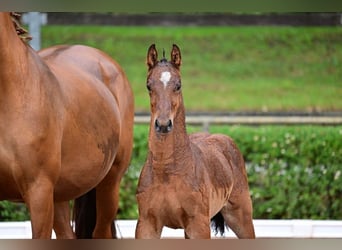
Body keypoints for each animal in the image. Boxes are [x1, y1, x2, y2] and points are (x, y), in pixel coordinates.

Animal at [135, 44, 255, 239]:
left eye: (178, 85)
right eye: (148, 85)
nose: (163, 124)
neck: (166, 171)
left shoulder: (198, 225)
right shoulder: (147, 225)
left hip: (241, 217)